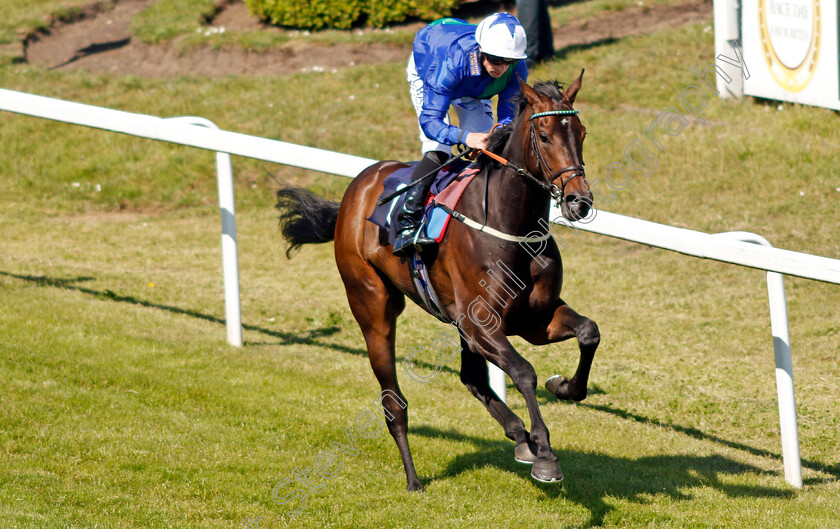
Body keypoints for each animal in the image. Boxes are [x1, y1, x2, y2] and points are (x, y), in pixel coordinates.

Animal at [274, 72, 596, 488]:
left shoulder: (533, 319)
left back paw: (518, 437)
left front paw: (564, 388)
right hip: (373, 305)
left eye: (581, 132)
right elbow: (524, 372)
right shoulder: (481, 325)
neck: (511, 226)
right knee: (393, 400)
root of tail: (352, 193)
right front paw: (546, 455)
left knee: (471, 377)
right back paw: (414, 478)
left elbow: (588, 332)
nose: (579, 201)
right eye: (543, 136)